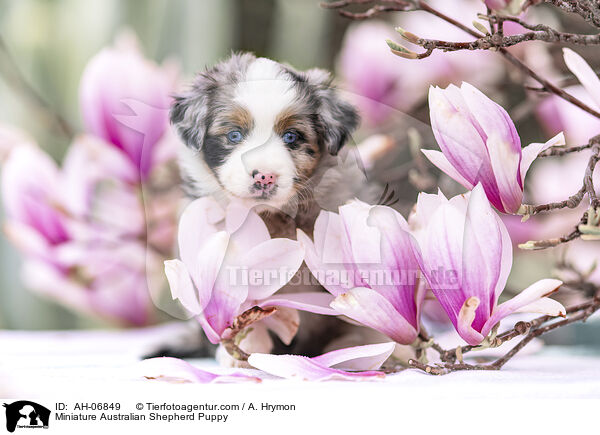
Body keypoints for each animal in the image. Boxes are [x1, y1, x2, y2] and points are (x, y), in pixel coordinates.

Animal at [171, 51, 382, 364]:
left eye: (291, 137)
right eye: (234, 135)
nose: (265, 176)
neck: (273, 217)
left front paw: (366, 346)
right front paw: (244, 352)